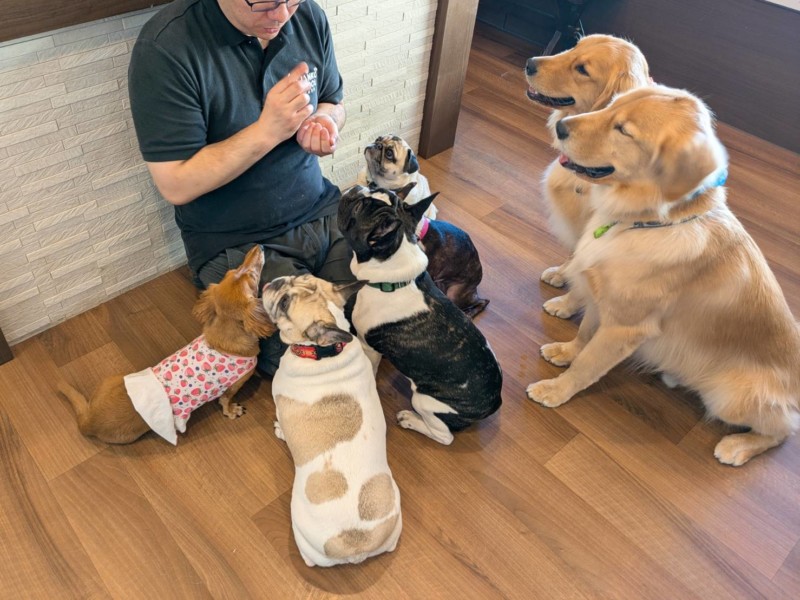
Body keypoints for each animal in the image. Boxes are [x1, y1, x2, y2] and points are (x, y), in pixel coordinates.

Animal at [58, 245, 275, 445]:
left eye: (234, 270)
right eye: (252, 276)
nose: (259, 246)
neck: (224, 335)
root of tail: (88, 421)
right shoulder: (233, 386)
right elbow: (226, 401)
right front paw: (232, 411)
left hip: (113, 379)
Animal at [261, 274, 401, 567]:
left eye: (285, 302)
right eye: (299, 275)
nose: (278, 280)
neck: (324, 351)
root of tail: (356, 544)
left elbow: (281, 422)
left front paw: (280, 430)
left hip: (300, 530)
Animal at [338, 184, 502, 445]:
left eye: (358, 207)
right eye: (373, 187)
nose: (357, 187)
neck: (392, 281)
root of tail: (494, 404)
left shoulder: (368, 346)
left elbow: (370, 367)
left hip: (424, 400)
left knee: (444, 436)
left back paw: (410, 420)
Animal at [525, 85, 800, 466]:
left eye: (623, 130)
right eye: (612, 106)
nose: (561, 127)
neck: (646, 221)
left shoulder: (626, 327)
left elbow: (588, 365)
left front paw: (555, 390)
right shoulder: (604, 302)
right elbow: (585, 336)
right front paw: (566, 351)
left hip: (730, 397)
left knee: (783, 432)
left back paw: (738, 446)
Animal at [526, 34, 650, 318]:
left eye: (582, 69)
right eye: (574, 46)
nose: (529, 62)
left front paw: (565, 304)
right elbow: (575, 256)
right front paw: (562, 273)